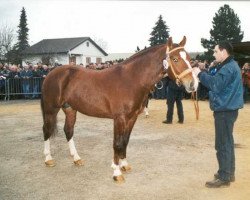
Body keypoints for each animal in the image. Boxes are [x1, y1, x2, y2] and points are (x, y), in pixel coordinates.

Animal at [41, 36, 198, 183]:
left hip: (70, 109)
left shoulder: (132, 117)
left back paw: (76, 158)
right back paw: (48, 159)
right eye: (175, 59)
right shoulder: (119, 118)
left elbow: (125, 141)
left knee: (68, 131)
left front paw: (124, 165)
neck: (132, 79)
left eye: (189, 59)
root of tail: (51, 73)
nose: (193, 84)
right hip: (51, 109)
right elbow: (117, 143)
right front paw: (117, 173)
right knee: (47, 130)